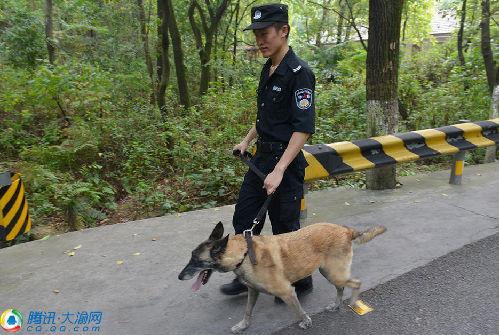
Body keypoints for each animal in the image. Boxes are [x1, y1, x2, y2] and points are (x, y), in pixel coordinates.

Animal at [179, 222, 386, 334]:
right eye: (190, 257)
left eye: (196, 260)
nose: (180, 276)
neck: (244, 254)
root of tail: (346, 230)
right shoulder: (253, 291)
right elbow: (247, 311)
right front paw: (243, 326)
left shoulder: (287, 292)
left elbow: (297, 311)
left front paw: (306, 321)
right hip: (329, 273)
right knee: (341, 287)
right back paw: (336, 305)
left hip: (335, 274)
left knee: (356, 283)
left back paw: (353, 301)